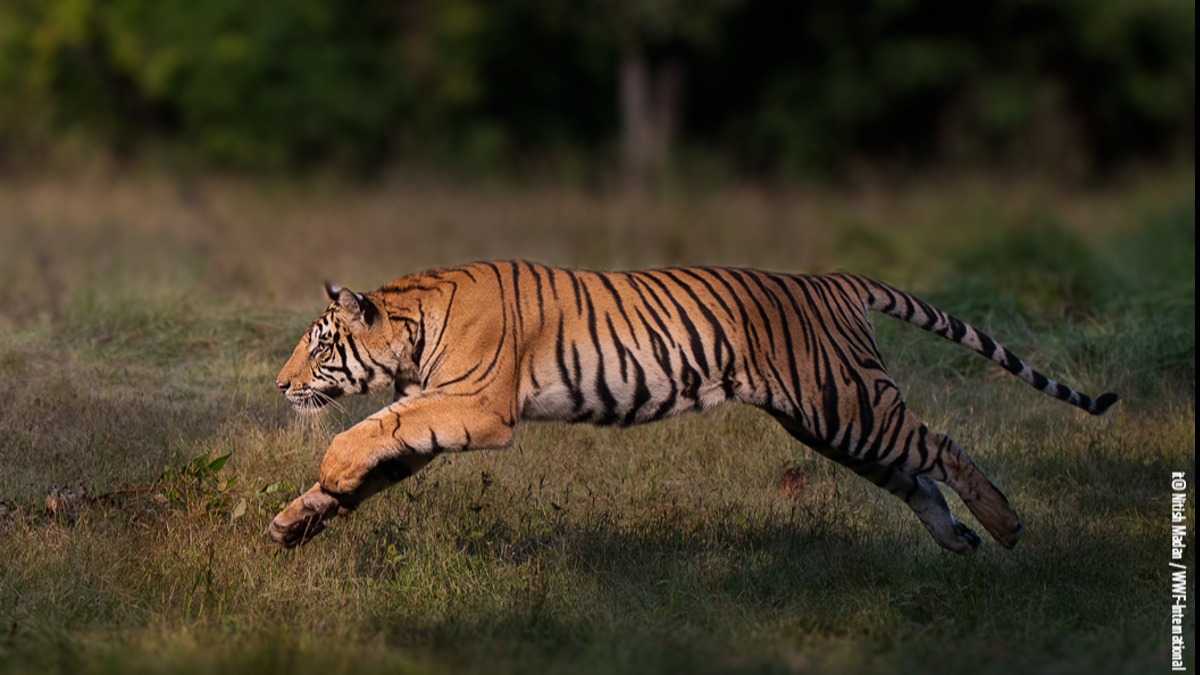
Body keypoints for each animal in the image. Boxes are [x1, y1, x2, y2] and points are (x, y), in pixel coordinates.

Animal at [268, 260, 1118, 554]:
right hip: (835, 424)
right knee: (914, 474)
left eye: (319, 345)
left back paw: (1004, 526)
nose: (278, 384)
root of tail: (835, 280)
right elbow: (376, 452)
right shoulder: (437, 411)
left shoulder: (475, 407)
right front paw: (298, 518)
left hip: (847, 405)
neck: (411, 327)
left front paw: (328, 472)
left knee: (941, 445)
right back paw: (958, 540)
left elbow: (369, 429)